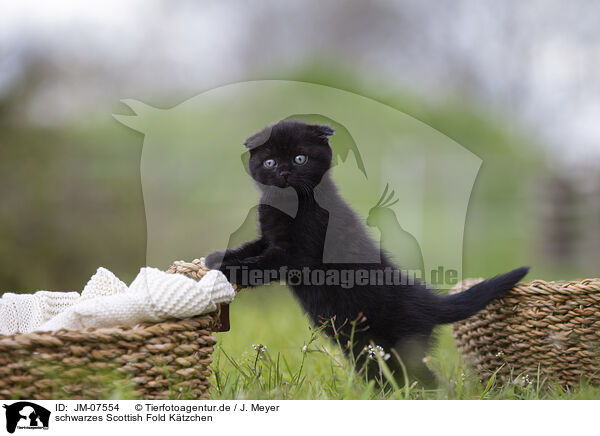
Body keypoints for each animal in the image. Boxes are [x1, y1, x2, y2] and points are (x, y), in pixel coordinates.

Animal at [207, 118, 528, 384]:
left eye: (300, 158)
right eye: (270, 162)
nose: (285, 173)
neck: (290, 205)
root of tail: (426, 300)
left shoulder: (297, 254)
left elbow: (264, 264)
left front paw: (232, 270)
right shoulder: (269, 237)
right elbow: (252, 247)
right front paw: (217, 258)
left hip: (396, 347)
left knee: (427, 382)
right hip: (365, 349)